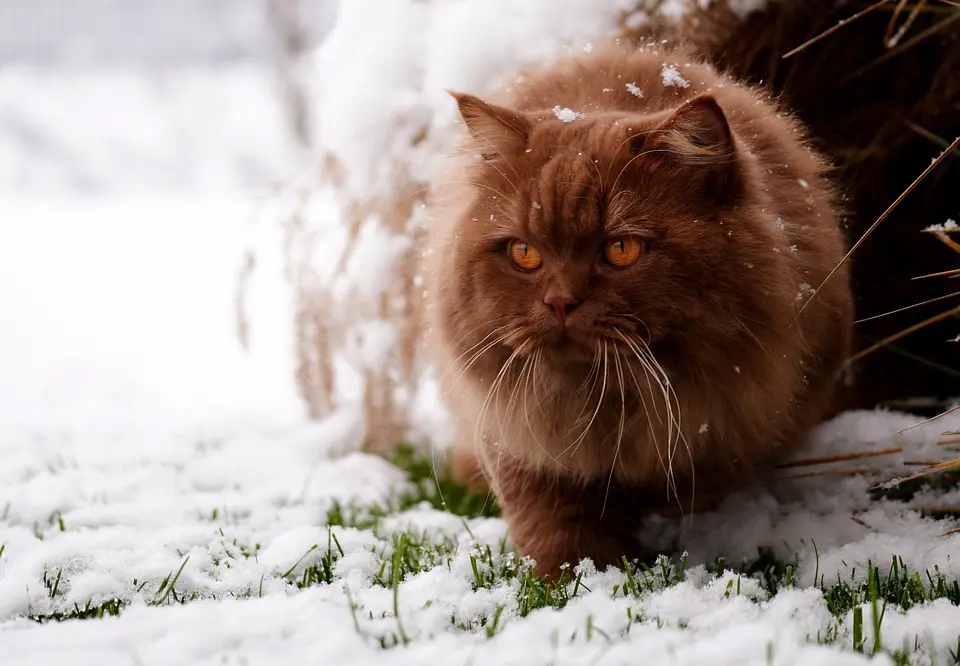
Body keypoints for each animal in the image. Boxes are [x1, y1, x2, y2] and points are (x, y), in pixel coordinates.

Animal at [422, 39, 856, 576]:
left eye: (621, 250)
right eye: (524, 254)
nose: (560, 300)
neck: (612, 401)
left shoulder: (743, 418)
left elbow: (702, 477)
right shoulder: (519, 434)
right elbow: (552, 523)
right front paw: (572, 577)